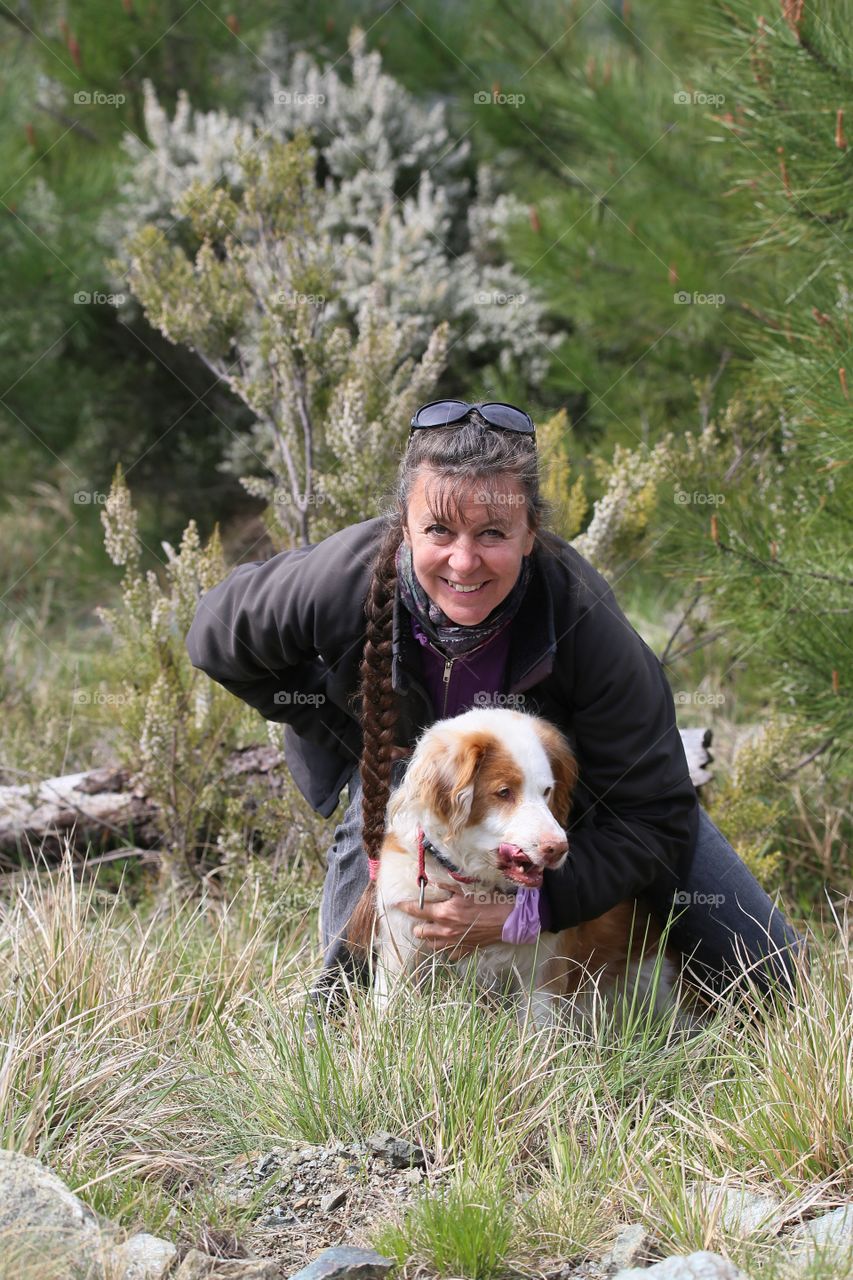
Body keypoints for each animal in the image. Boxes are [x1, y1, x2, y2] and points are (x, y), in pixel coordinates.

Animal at [348, 706, 681, 1024]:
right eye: (504, 792)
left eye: (547, 791)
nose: (558, 848)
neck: (472, 880)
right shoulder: (400, 949)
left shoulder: (544, 971)